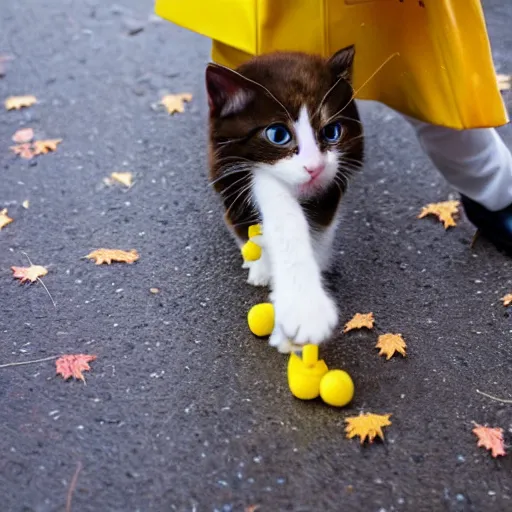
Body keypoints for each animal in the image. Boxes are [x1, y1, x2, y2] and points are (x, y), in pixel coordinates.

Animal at [205, 47, 364, 352]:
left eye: (332, 132)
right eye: (278, 135)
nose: (314, 168)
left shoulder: (335, 178)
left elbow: (319, 227)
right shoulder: (231, 169)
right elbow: (273, 210)